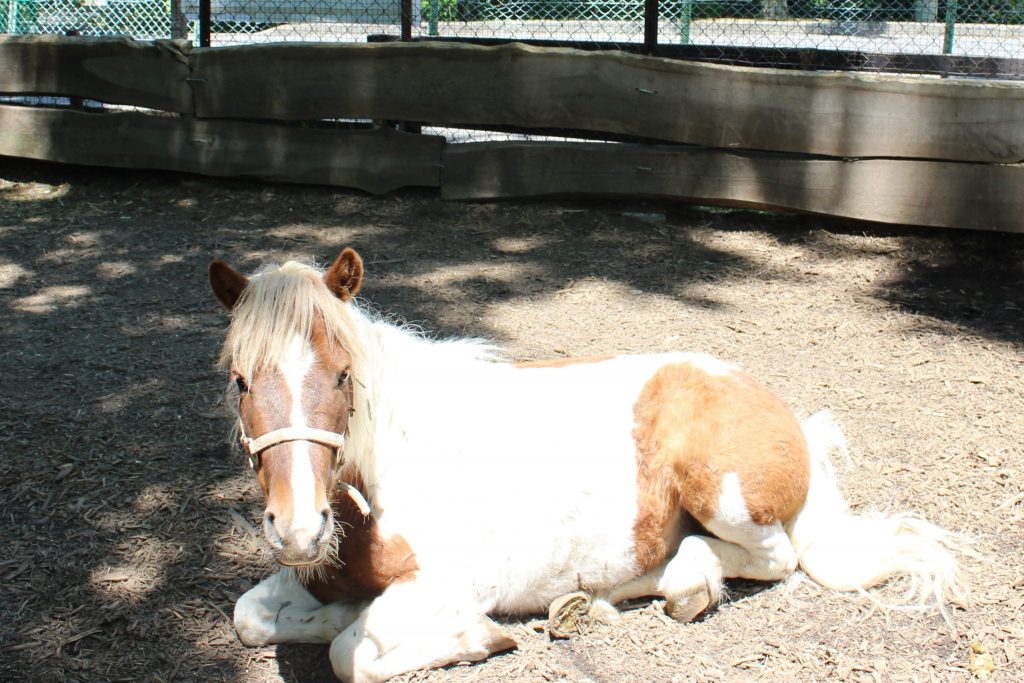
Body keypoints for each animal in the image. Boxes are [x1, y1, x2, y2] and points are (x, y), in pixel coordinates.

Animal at [209, 248, 966, 683]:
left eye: (342, 376)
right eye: (242, 381)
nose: (298, 529)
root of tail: (785, 414)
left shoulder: (451, 585)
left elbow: (351, 654)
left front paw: (477, 638)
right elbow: (251, 617)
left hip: (726, 498)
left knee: (775, 558)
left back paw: (687, 584)